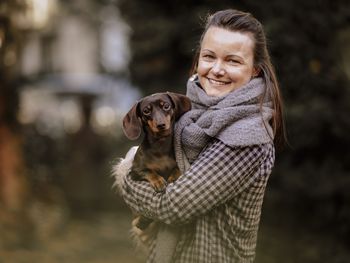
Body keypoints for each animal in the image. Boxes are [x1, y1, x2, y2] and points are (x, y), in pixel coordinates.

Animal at [121, 92, 191, 230]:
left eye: (166, 106)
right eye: (146, 111)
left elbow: (176, 168)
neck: (160, 146)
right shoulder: (134, 172)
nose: (161, 125)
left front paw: (173, 177)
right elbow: (149, 171)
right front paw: (158, 182)